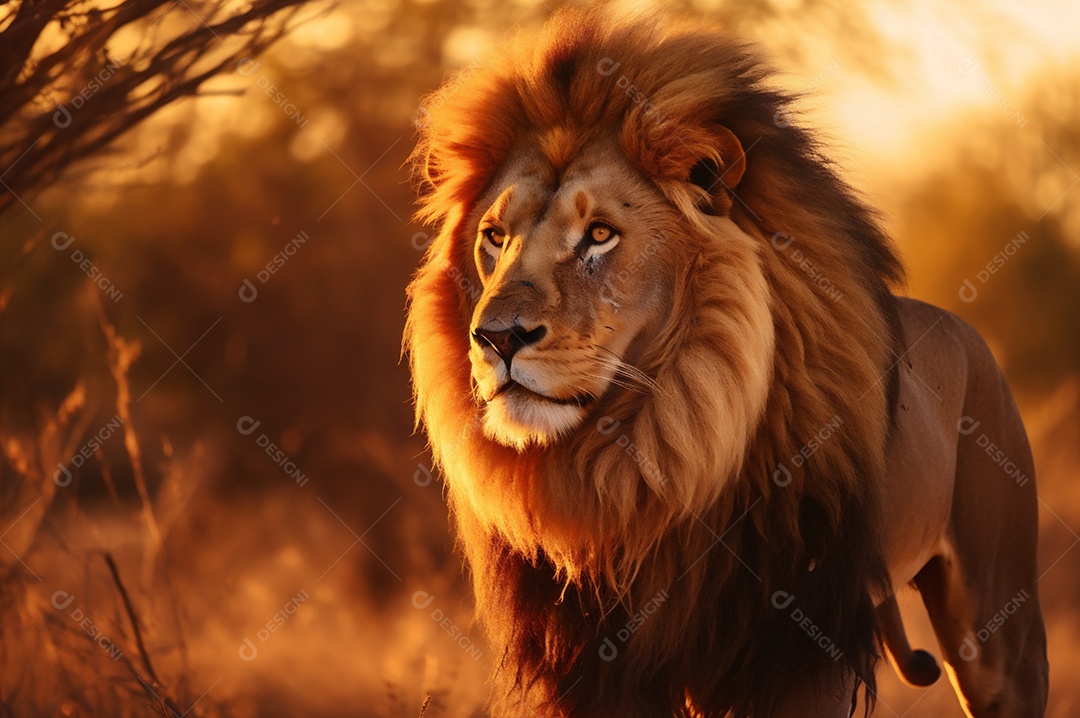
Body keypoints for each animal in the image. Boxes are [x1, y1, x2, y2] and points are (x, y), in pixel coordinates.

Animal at [404, 8, 1048, 717]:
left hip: (1000, 622)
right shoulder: (588, 662)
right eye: (495, 237)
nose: (496, 338)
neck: (644, 463)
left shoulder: (792, 652)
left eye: (599, 234)